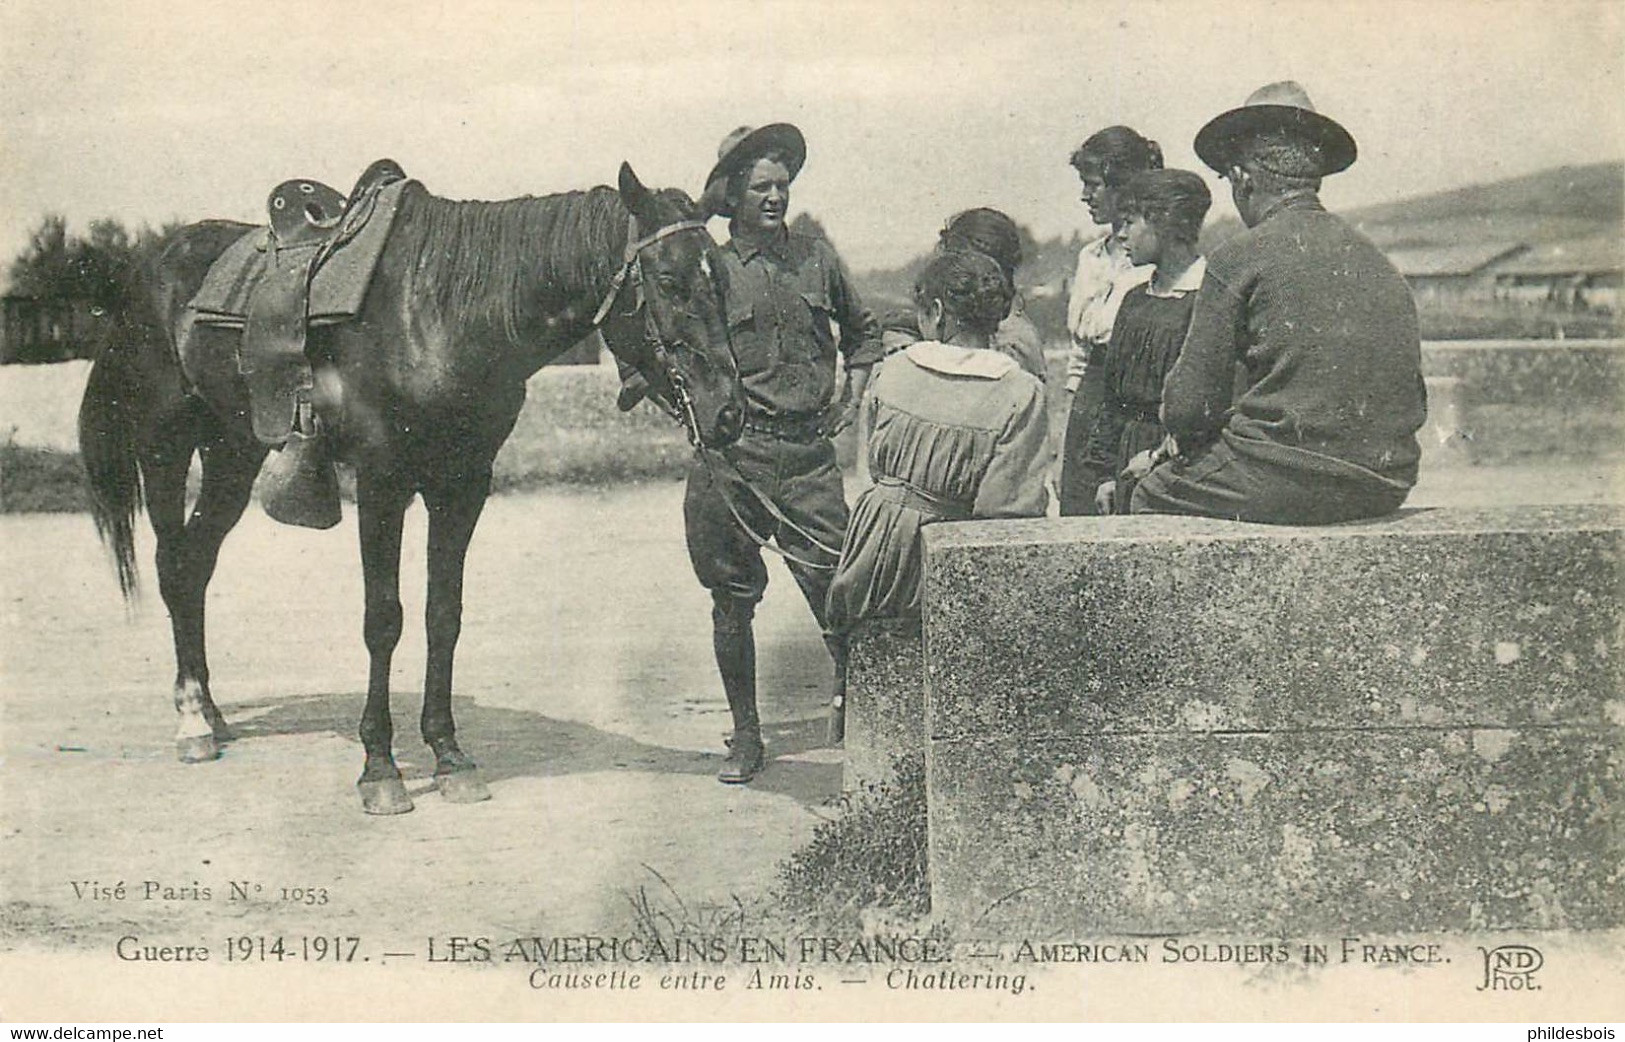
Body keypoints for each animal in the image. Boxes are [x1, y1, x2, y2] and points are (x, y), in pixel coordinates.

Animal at [79, 162, 744, 812]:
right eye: (669, 281)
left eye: (721, 282)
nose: (729, 413)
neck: (440, 314)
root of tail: (149, 266)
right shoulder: (383, 482)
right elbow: (384, 620)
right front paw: (380, 767)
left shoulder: (463, 485)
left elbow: (443, 614)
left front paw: (449, 755)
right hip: (166, 448)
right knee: (173, 566)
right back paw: (192, 720)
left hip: (232, 455)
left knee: (195, 565)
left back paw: (212, 715)